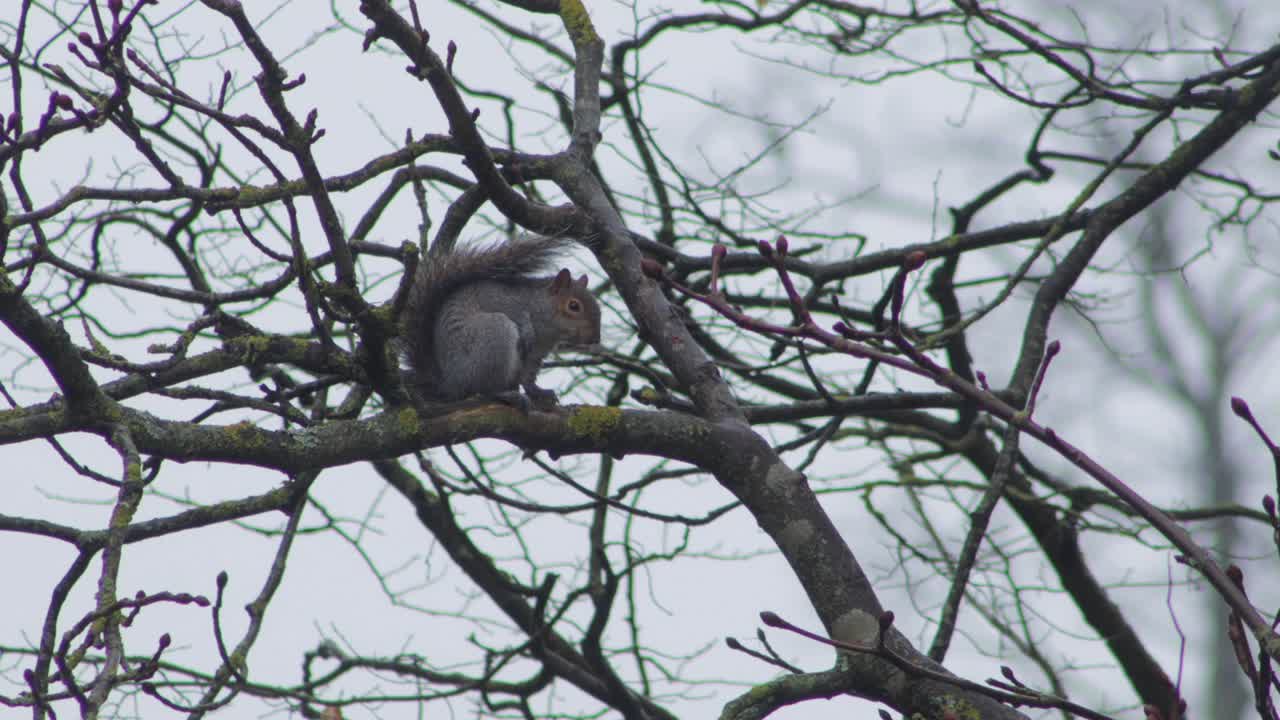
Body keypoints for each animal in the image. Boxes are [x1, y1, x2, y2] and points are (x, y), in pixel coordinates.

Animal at [402, 234, 601, 409]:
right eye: (574, 306)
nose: (595, 339)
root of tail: (448, 383)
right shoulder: (500, 299)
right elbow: (514, 313)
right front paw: (527, 328)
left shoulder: (535, 355)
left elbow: (528, 378)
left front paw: (540, 392)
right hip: (494, 334)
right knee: (483, 388)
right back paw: (505, 394)